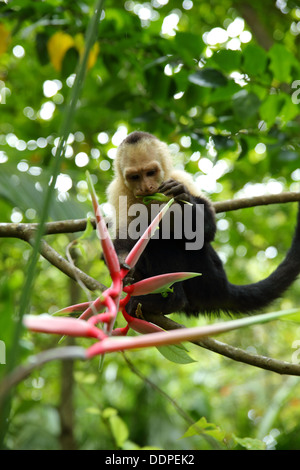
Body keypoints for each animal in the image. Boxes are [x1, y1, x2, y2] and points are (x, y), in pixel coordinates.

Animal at [106, 130, 300, 318]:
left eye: (150, 173)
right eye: (135, 176)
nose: (146, 187)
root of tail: (223, 288)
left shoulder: (179, 177)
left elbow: (206, 230)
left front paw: (183, 196)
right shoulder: (118, 191)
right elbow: (126, 234)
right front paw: (121, 263)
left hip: (207, 276)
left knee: (165, 239)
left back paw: (170, 300)